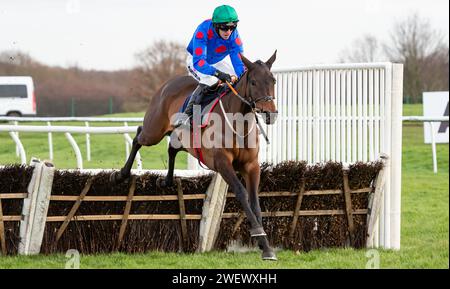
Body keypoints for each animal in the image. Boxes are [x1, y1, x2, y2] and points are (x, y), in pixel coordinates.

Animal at [109, 50, 280, 260]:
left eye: (273, 80)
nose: (271, 114)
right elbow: (241, 192)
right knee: (138, 137)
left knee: (171, 149)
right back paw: (121, 174)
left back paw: (164, 181)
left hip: (181, 139)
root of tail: (167, 84)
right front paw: (258, 233)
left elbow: (255, 201)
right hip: (153, 131)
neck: (238, 124)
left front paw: (265, 246)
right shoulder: (222, 163)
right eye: (254, 82)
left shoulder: (251, 165)